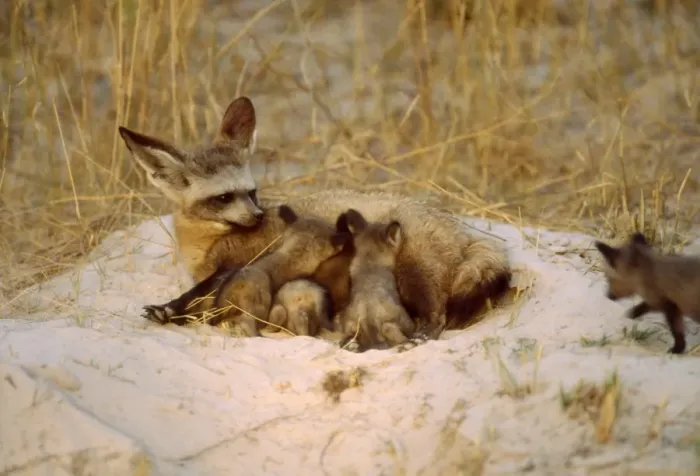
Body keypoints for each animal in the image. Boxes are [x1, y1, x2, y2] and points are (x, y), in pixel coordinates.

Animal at [334, 209, 416, 352]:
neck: (370, 266)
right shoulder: (404, 319)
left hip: (350, 325)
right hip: (396, 323)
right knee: (392, 331)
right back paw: (407, 345)